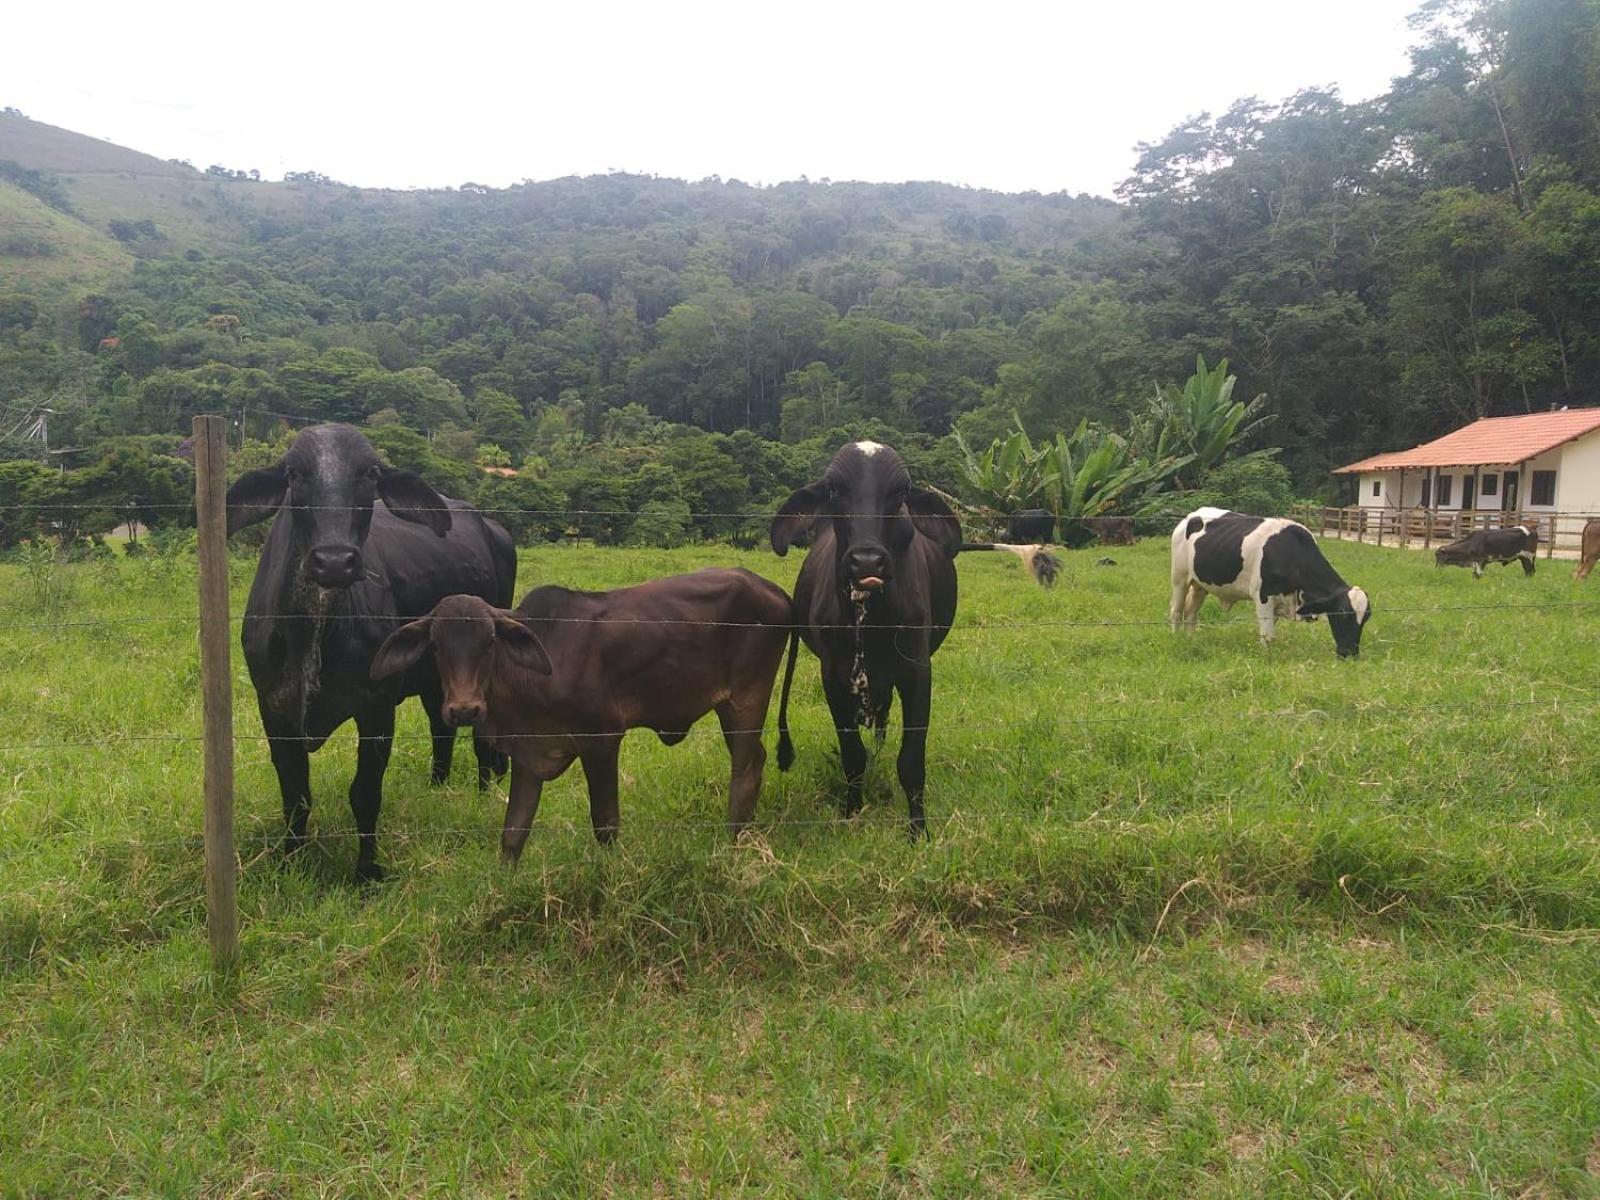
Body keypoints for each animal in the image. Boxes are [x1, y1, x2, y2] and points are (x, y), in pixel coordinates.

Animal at [225, 425, 508, 883]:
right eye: (293, 474)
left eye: (370, 473)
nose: (334, 561)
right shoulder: (273, 707)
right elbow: (295, 793)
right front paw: (290, 860)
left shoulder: (376, 707)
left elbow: (364, 793)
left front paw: (367, 871)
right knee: (441, 727)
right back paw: (438, 787)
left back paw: (485, 791)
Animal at [369, 576, 793, 864]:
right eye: (436, 646)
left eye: (489, 642)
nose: (463, 709)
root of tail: (772, 589)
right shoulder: (527, 752)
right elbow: (513, 831)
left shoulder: (601, 739)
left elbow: (605, 823)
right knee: (755, 760)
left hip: (747, 699)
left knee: (745, 768)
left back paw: (732, 843)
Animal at [774, 438, 960, 838]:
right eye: (834, 490)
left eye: (901, 493)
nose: (867, 562)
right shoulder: (834, 676)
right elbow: (852, 755)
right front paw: (852, 811)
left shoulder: (917, 671)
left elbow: (911, 760)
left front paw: (918, 830)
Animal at [1164, 505, 1376, 662]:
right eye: (1343, 614)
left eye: (1366, 618)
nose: (1350, 654)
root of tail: (1190, 516)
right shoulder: (1262, 595)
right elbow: (1268, 635)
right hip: (1179, 578)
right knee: (1176, 611)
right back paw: (1176, 639)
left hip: (1200, 584)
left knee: (1191, 612)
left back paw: (1191, 639)